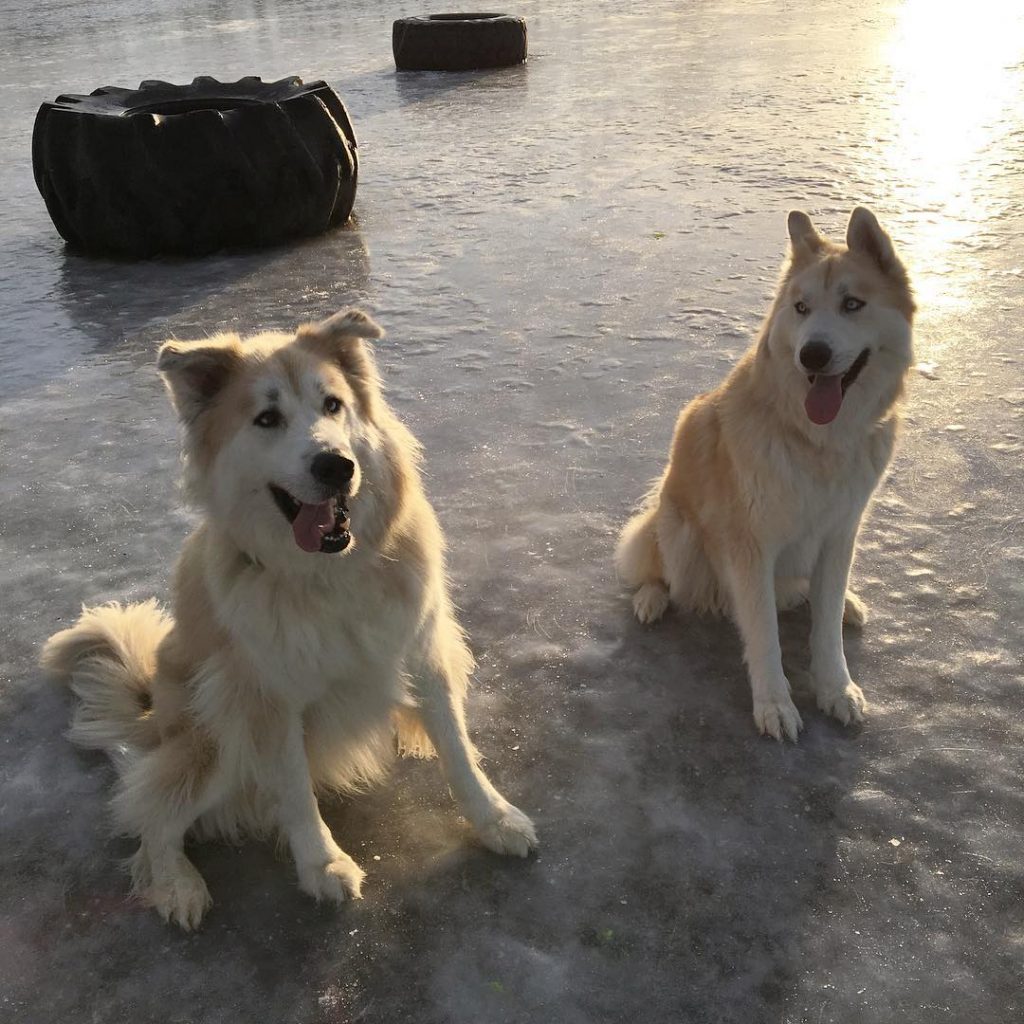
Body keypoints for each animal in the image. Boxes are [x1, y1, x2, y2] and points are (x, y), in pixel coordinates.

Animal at [41, 309, 536, 929]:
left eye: (334, 404)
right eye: (267, 419)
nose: (336, 466)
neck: (330, 574)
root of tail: (152, 718)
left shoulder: (423, 657)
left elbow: (458, 750)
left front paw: (494, 819)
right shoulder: (265, 702)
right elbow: (297, 792)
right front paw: (323, 865)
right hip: (217, 732)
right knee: (152, 816)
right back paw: (177, 885)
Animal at [614, 207, 913, 741]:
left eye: (852, 304)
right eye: (800, 308)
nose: (812, 354)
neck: (818, 443)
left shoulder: (841, 532)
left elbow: (826, 628)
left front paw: (836, 688)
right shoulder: (751, 546)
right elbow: (765, 636)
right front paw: (774, 704)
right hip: (677, 531)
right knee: (658, 572)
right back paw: (651, 598)